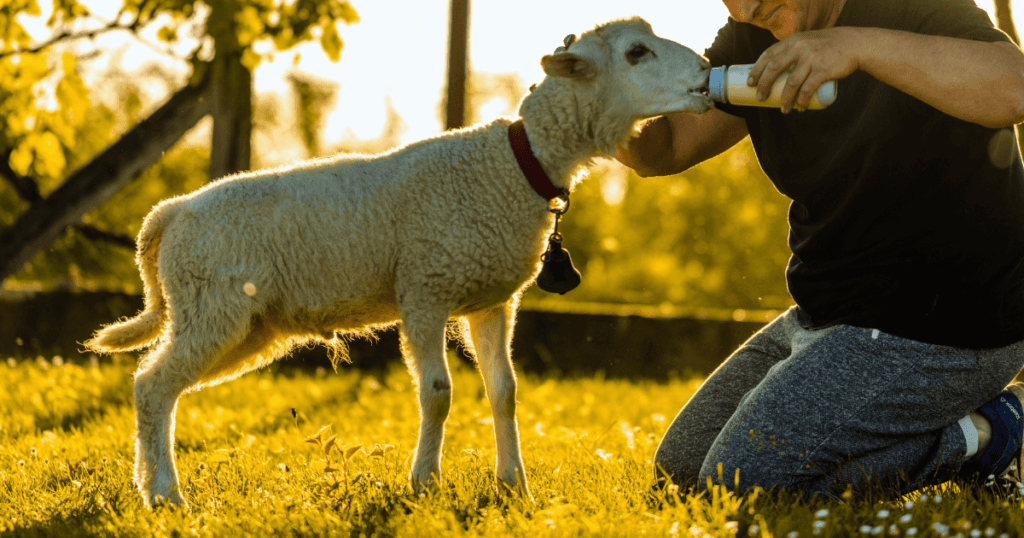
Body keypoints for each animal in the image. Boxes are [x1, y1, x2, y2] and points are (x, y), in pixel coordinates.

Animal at [86, 14, 712, 506]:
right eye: (637, 52)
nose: (708, 73)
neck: (513, 166)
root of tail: (170, 214)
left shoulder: (491, 301)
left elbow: (504, 391)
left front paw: (515, 486)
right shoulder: (424, 289)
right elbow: (437, 394)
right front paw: (425, 484)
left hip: (240, 324)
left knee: (155, 385)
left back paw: (153, 485)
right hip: (212, 305)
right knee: (154, 386)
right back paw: (166, 494)